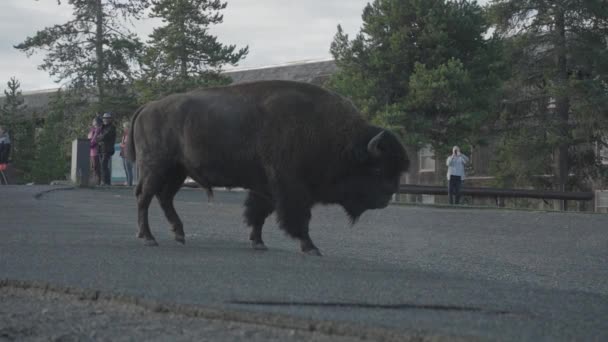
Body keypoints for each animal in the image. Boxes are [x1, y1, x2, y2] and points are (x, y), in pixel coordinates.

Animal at [127, 80, 408, 255]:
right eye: (377, 169)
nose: (387, 197)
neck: (340, 140)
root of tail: (148, 107)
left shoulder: (266, 187)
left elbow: (258, 214)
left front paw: (258, 243)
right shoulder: (291, 187)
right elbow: (298, 218)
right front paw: (311, 247)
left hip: (177, 171)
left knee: (164, 198)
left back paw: (179, 235)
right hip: (156, 167)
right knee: (144, 197)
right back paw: (149, 238)